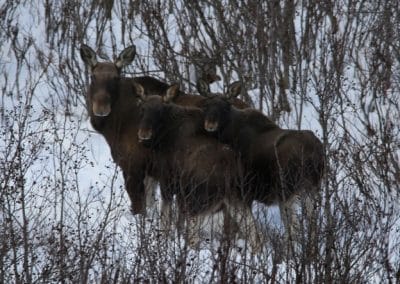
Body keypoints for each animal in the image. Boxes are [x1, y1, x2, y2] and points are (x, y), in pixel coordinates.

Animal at [134, 83, 260, 250]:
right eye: (142, 109)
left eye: (160, 111)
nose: (144, 134)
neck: (163, 138)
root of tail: (229, 172)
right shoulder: (180, 191)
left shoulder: (167, 182)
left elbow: (166, 220)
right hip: (237, 199)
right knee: (254, 235)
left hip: (198, 200)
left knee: (194, 238)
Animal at [198, 83, 324, 241]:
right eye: (205, 105)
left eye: (226, 106)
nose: (210, 124)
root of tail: (314, 154)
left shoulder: (243, 191)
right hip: (311, 189)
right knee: (312, 226)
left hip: (288, 191)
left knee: (293, 229)